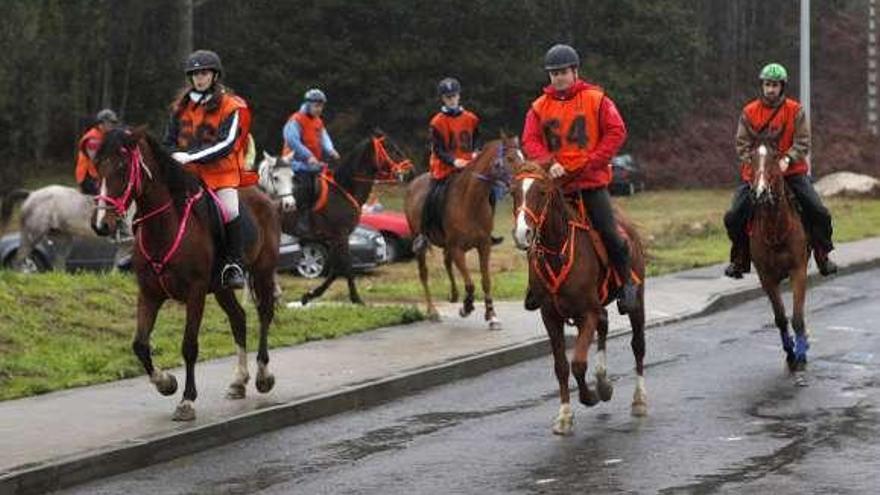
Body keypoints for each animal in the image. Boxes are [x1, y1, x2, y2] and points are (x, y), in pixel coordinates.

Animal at [89, 129, 278, 422]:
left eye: (122, 167)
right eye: (97, 166)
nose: (101, 225)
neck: (165, 225)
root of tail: (264, 197)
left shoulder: (195, 293)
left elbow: (189, 345)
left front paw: (187, 400)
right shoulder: (149, 294)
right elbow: (139, 345)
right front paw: (166, 383)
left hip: (263, 272)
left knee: (265, 313)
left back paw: (263, 375)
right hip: (222, 288)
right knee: (239, 319)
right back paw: (238, 381)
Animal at [282, 131, 416, 306]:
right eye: (390, 148)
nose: (411, 171)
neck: (344, 189)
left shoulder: (333, 238)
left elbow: (336, 268)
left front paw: (310, 295)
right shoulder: (342, 235)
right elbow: (345, 265)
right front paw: (356, 298)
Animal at [404, 136, 520, 330]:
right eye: (510, 159)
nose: (521, 182)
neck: (471, 202)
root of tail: (413, 183)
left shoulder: (484, 246)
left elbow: (485, 281)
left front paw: (491, 315)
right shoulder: (457, 248)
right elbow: (470, 284)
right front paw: (466, 307)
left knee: (446, 262)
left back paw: (454, 295)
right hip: (420, 242)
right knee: (424, 272)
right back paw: (433, 311)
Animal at [508, 162, 648, 434]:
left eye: (542, 192)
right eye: (513, 192)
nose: (522, 233)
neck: (558, 249)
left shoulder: (587, 313)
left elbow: (578, 363)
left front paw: (589, 396)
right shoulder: (550, 316)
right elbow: (562, 366)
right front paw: (565, 414)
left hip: (636, 302)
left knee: (638, 346)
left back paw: (638, 400)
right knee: (604, 325)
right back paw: (603, 382)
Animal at [748, 137, 812, 388]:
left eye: (775, 159)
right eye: (751, 158)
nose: (759, 192)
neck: (775, 227)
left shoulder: (798, 271)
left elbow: (797, 318)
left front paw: (801, 357)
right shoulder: (766, 278)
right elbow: (781, 318)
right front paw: (791, 354)